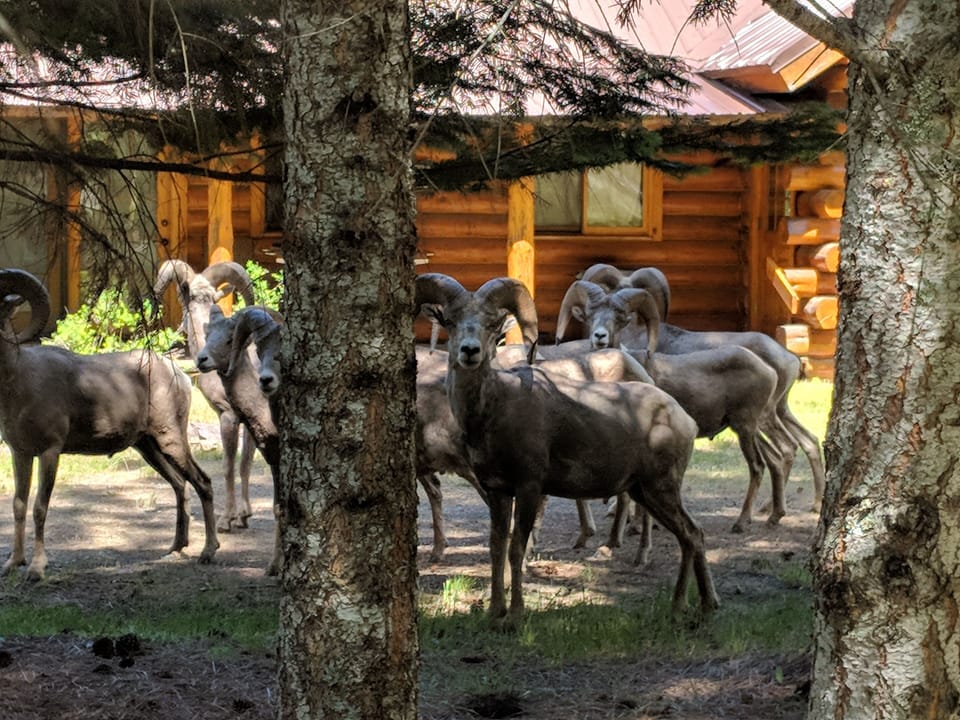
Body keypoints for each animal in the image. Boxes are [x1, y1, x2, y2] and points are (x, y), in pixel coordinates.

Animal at [0, 269, 220, 579]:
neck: (18, 383)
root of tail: (178, 374)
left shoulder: (50, 452)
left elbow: (40, 508)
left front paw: (36, 569)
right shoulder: (20, 453)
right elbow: (18, 506)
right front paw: (13, 563)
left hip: (171, 440)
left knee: (202, 482)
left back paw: (208, 552)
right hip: (149, 447)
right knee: (180, 485)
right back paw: (176, 546)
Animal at [195, 305, 282, 576]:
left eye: (229, 339)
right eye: (208, 334)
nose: (201, 359)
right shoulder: (274, 459)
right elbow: (279, 509)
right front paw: (275, 566)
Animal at [415, 272, 719, 628]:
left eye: (491, 324)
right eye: (450, 321)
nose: (469, 351)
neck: (495, 407)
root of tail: (684, 419)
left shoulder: (529, 487)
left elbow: (517, 548)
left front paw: (515, 616)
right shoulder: (498, 491)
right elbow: (496, 547)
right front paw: (493, 613)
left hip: (662, 488)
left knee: (692, 534)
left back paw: (686, 605)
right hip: (646, 492)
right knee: (691, 536)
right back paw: (698, 606)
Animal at [557, 270, 827, 515]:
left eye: (619, 316)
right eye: (591, 314)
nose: (599, 336)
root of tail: (788, 358)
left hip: (761, 420)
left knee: (785, 451)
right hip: (777, 413)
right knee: (807, 442)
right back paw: (798, 506)